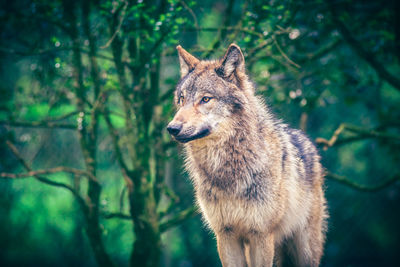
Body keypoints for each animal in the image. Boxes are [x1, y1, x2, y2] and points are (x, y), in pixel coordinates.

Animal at [167, 44, 326, 267]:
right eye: (182, 99)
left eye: (205, 99)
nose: (172, 128)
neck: (227, 169)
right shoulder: (225, 235)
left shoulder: (261, 234)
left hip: (304, 250)